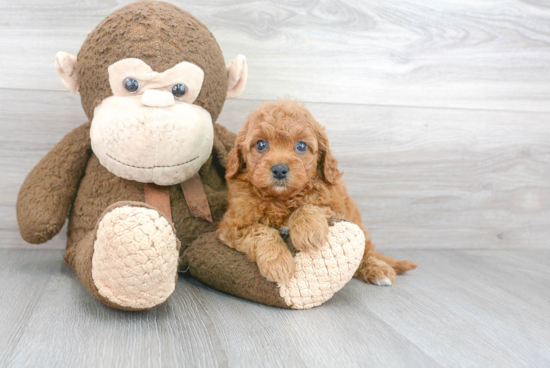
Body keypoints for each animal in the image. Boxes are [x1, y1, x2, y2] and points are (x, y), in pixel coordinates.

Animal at [218, 100, 416, 284]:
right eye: (260, 144)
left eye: (301, 146)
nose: (280, 170)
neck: (281, 199)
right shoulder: (233, 225)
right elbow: (260, 231)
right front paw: (278, 263)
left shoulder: (334, 204)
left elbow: (310, 206)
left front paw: (308, 231)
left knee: (365, 253)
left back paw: (378, 269)